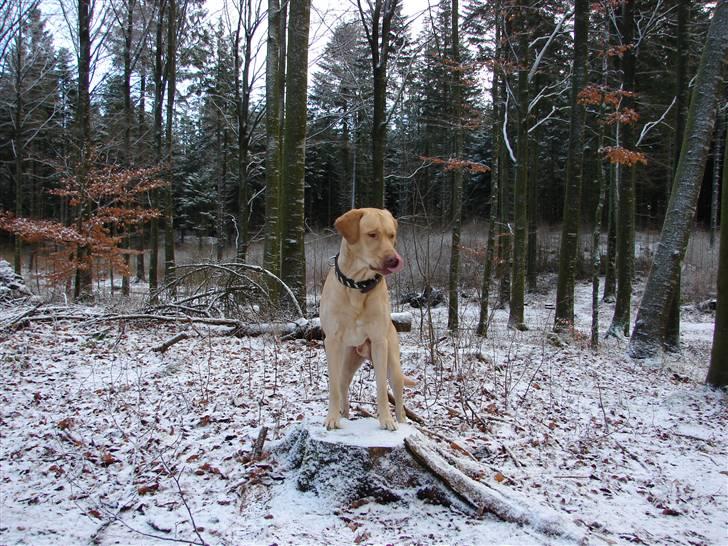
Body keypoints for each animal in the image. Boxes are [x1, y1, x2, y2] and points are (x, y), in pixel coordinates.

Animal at [322, 208, 412, 430]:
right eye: (372, 234)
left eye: (391, 235)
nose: (394, 260)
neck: (358, 284)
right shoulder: (332, 341)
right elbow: (333, 387)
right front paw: (332, 418)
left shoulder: (379, 342)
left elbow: (381, 388)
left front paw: (386, 420)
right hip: (347, 358)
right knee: (343, 383)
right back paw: (344, 415)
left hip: (393, 364)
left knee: (398, 396)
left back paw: (401, 420)